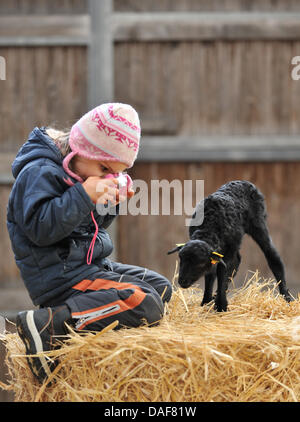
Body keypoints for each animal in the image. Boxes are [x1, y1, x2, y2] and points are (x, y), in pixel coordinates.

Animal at [168, 180, 294, 312]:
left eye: (200, 263)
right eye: (181, 259)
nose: (182, 281)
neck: (209, 227)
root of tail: (244, 182)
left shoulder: (227, 251)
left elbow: (222, 272)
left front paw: (221, 305)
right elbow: (211, 273)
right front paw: (207, 302)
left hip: (258, 223)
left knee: (272, 256)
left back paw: (287, 297)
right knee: (237, 261)